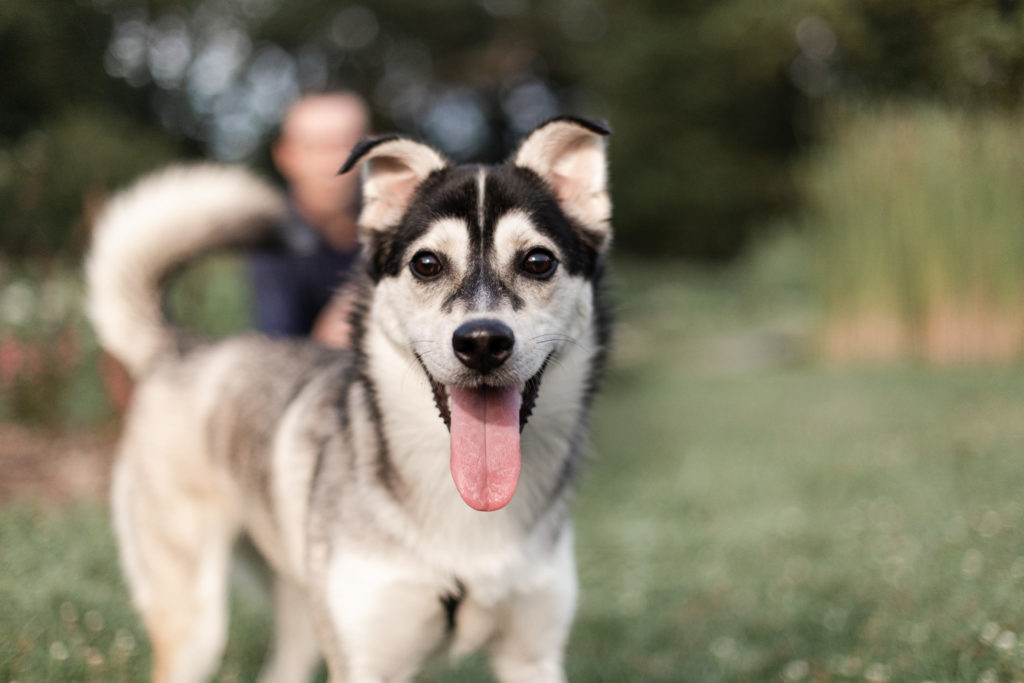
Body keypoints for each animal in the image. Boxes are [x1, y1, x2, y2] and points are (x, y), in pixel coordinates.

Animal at [86, 117, 606, 683]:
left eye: (538, 261)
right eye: (427, 263)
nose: (483, 342)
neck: (464, 510)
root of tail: (182, 347)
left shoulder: (532, 657)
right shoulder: (366, 660)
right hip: (195, 624)